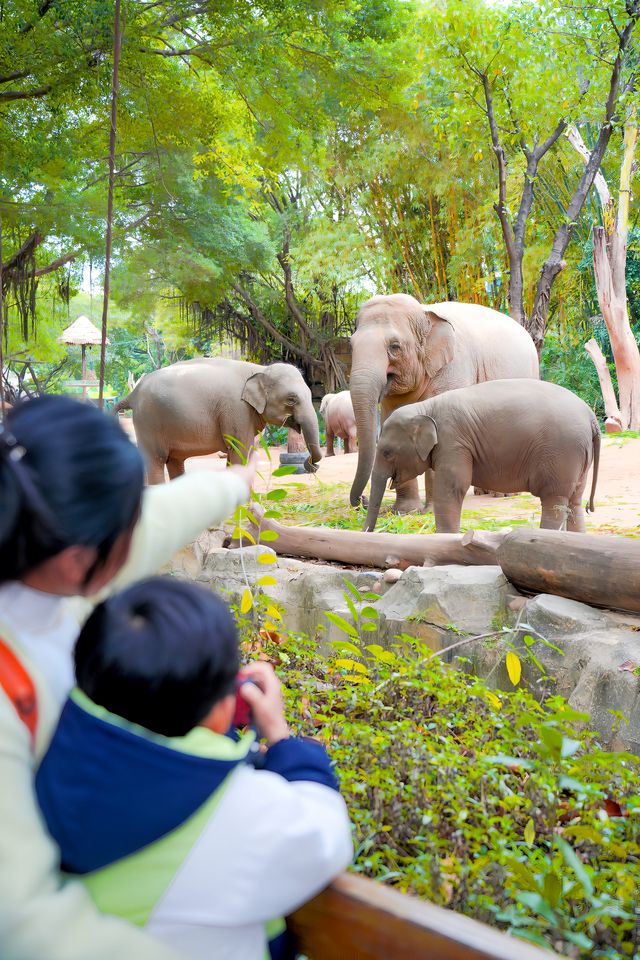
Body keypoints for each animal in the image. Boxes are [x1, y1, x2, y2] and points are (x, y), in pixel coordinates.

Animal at [113, 358, 322, 484]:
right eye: (291, 399)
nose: (311, 465)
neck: (259, 369)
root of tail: (133, 394)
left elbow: (237, 453)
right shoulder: (237, 410)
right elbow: (240, 451)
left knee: (174, 461)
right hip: (148, 421)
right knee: (156, 460)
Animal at [350, 292, 540, 512]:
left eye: (394, 346)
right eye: (350, 345)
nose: (362, 500)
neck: (425, 313)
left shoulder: (453, 368)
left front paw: (431, 511)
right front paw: (405, 512)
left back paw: (503, 494)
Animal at [364, 378, 600, 532]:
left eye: (387, 452)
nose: (370, 531)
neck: (425, 407)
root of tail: (591, 417)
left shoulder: (453, 442)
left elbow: (452, 489)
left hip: (561, 453)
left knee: (554, 502)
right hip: (578, 457)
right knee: (574, 503)